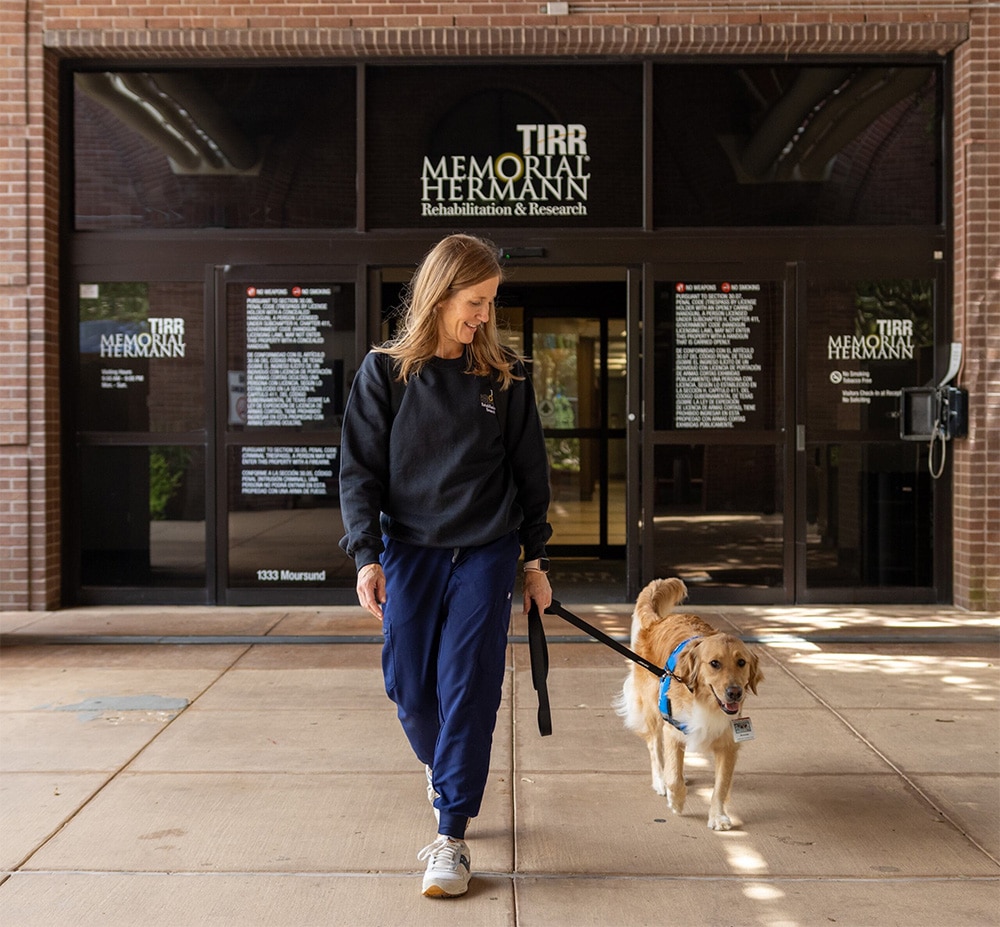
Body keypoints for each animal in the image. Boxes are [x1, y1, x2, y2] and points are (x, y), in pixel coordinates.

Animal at [608, 580, 764, 832]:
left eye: (742, 662)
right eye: (714, 663)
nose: (735, 692)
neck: (706, 703)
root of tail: (659, 620)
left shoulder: (728, 743)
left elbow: (721, 785)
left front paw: (718, 816)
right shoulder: (673, 729)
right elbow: (674, 776)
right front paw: (677, 801)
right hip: (653, 708)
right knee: (655, 747)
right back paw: (660, 781)